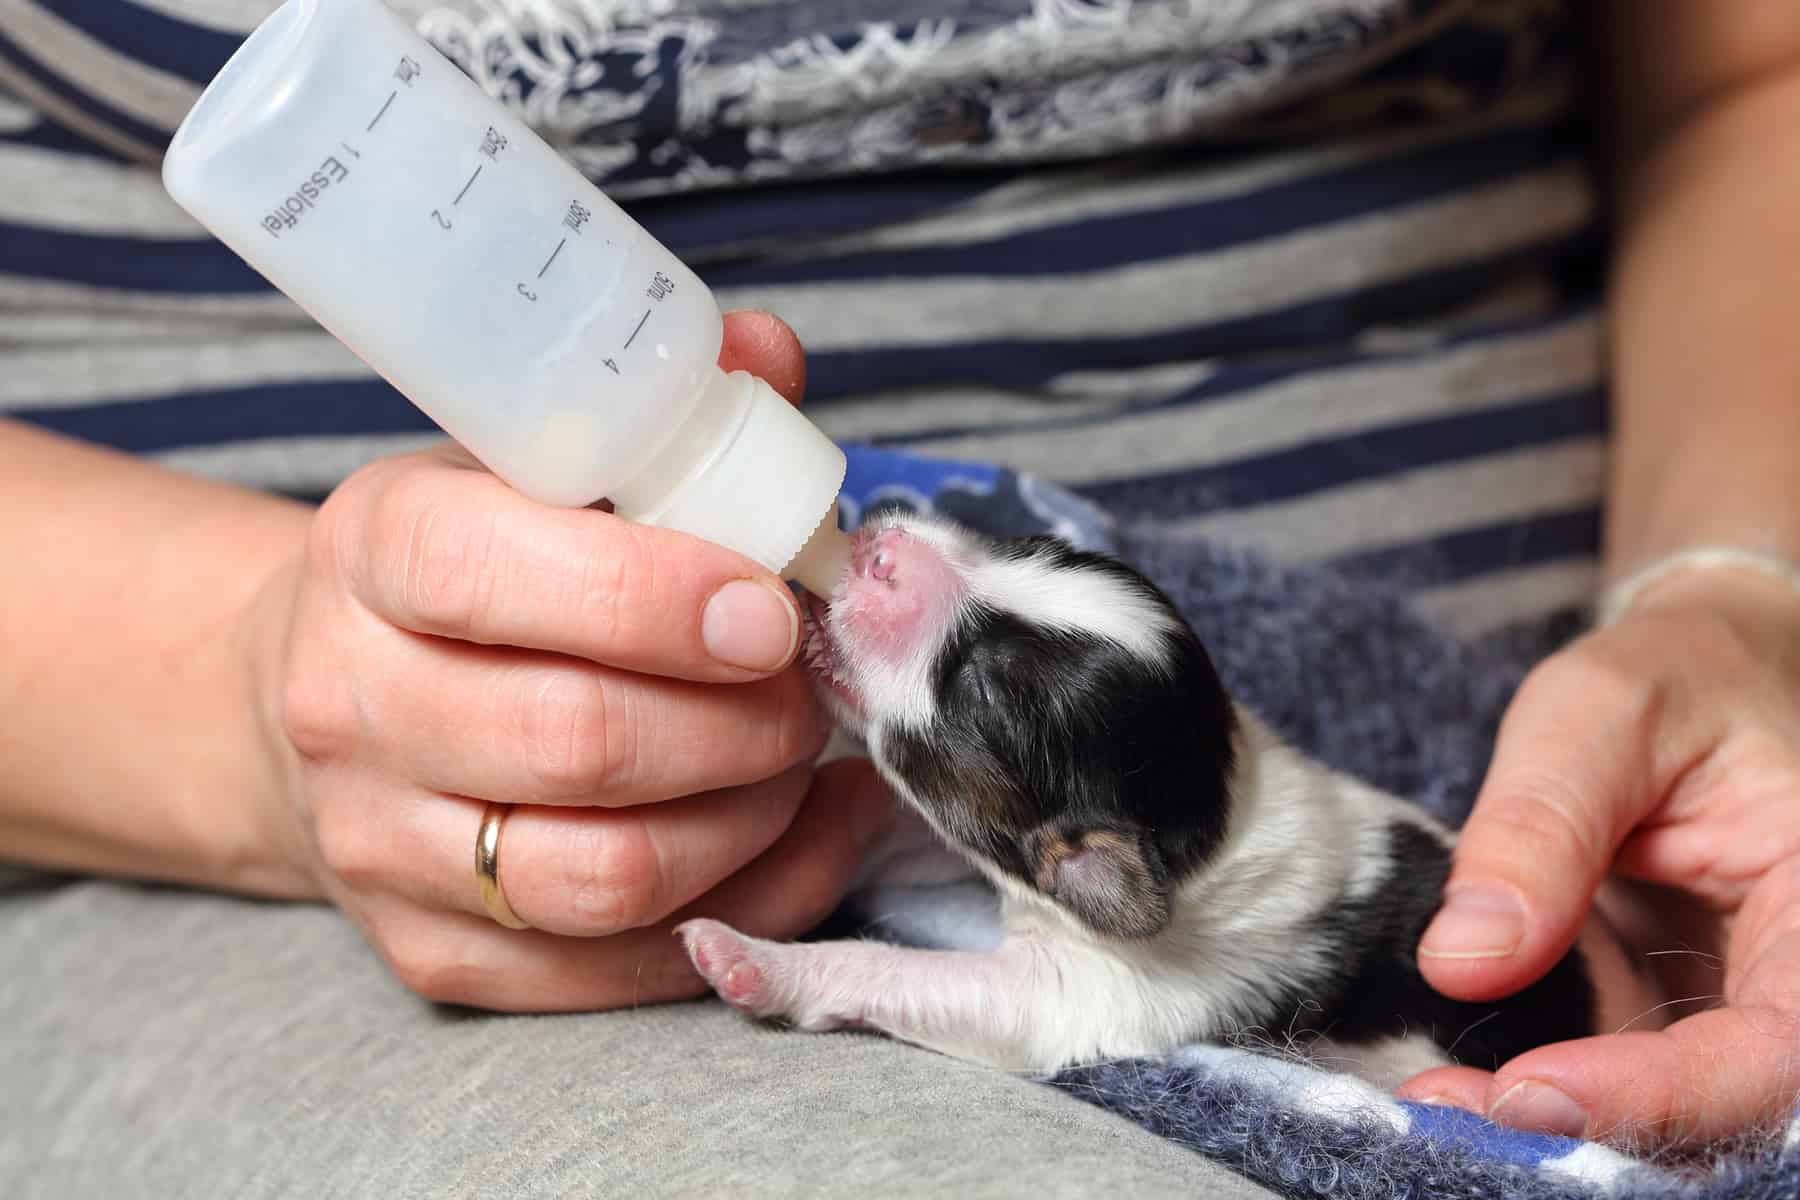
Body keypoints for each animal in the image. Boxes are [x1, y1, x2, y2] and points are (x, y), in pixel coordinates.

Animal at [676, 514, 1591, 1079]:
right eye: (1027, 544)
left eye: (981, 694)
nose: (878, 547)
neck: (1215, 823)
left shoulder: (1085, 991)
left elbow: (901, 969)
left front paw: (751, 958)